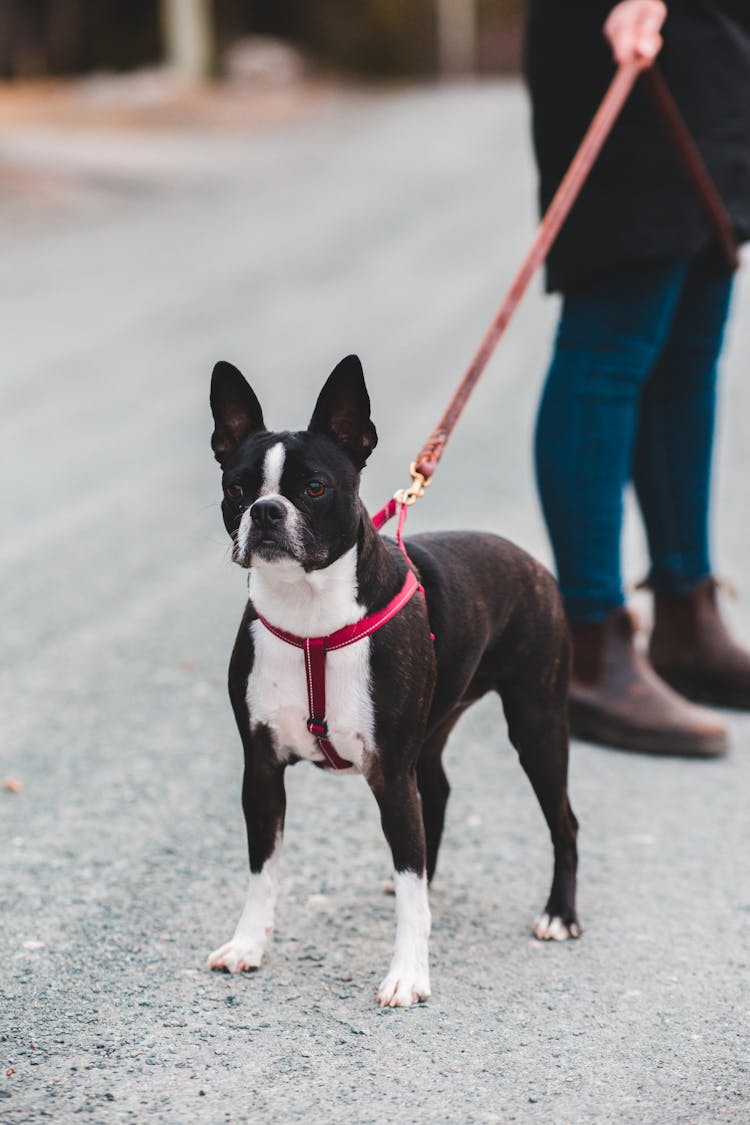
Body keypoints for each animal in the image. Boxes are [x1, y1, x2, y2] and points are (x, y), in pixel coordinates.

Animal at [208, 355, 584, 1008]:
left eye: (314, 488)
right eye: (237, 489)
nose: (266, 510)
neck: (310, 614)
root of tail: (530, 560)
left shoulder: (388, 769)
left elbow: (411, 891)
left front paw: (408, 974)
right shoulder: (261, 770)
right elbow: (263, 869)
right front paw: (248, 944)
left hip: (536, 725)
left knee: (563, 820)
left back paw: (559, 914)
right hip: (433, 734)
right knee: (436, 795)